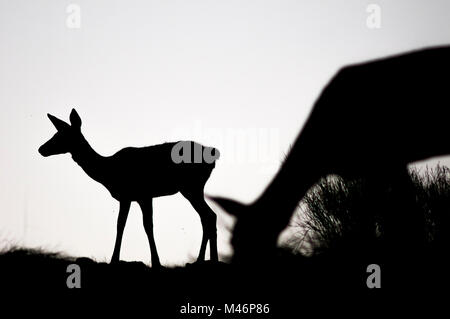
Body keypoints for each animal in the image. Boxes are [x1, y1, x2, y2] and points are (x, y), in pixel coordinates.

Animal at [39, 110, 219, 268]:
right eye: (55, 134)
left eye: (60, 136)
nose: (41, 149)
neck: (108, 173)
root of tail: (214, 156)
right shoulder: (139, 197)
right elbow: (141, 225)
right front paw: (153, 261)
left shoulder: (134, 195)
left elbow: (128, 225)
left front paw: (122, 260)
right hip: (193, 188)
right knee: (208, 216)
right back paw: (206, 259)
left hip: (191, 186)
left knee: (209, 215)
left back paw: (208, 260)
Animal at [211, 46, 450, 264]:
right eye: (231, 240)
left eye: (255, 237)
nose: (236, 262)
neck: (324, 153)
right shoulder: (381, 163)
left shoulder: (383, 158)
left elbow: (386, 214)